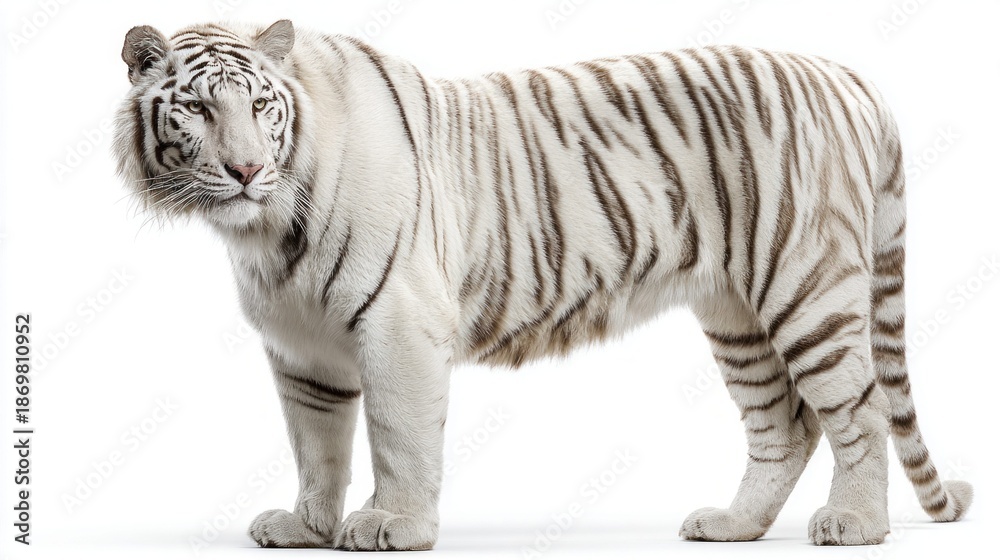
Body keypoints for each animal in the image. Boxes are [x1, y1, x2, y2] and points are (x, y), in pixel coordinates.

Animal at [113, 19, 973, 550]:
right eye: (198, 108)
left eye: (262, 105)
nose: (247, 169)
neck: (262, 230)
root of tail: (844, 73)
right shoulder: (302, 349)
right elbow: (315, 446)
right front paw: (307, 528)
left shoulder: (397, 322)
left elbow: (397, 436)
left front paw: (394, 526)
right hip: (735, 311)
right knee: (784, 425)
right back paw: (732, 524)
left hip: (807, 284)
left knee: (858, 408)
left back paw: (854, 523)